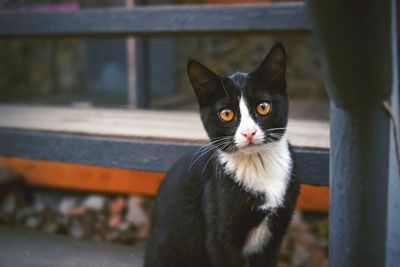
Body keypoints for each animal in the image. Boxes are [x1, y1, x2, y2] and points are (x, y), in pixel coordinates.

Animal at [145, 43, 298, 267]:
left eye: (263, 107)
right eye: (226, 113)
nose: (248, 133)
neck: (257, 165)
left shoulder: (273, 239)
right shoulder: (220, 240)